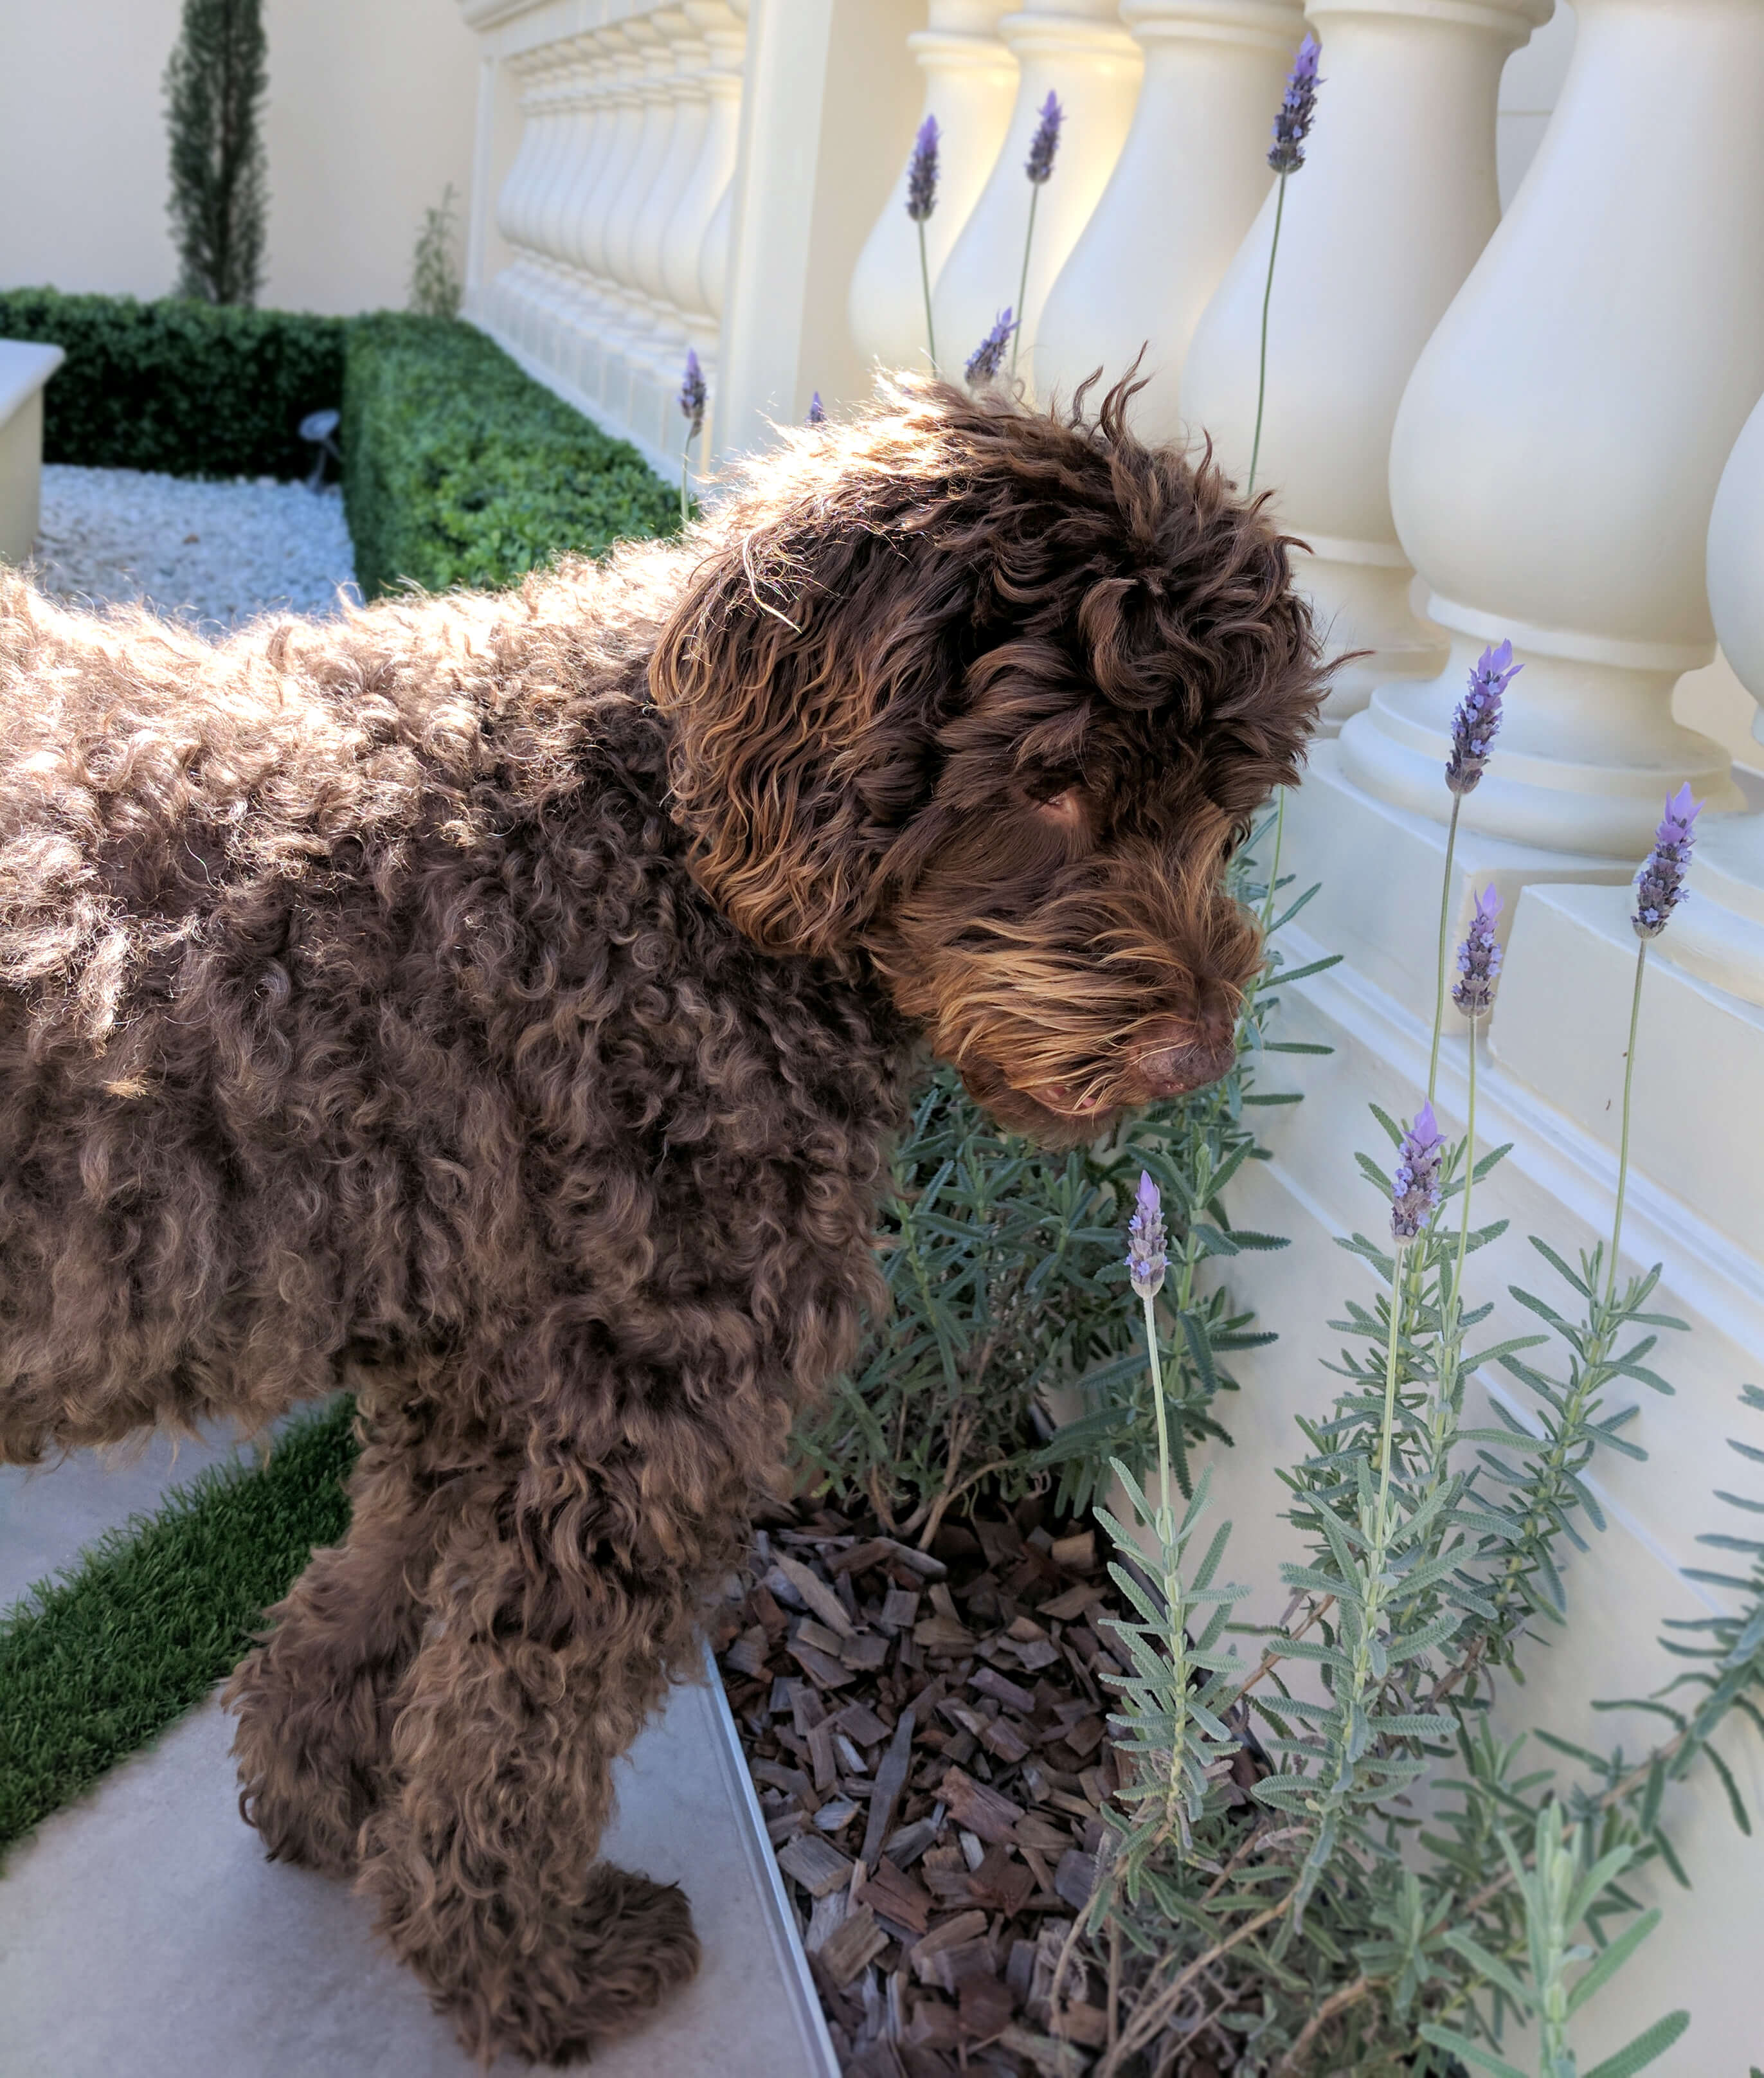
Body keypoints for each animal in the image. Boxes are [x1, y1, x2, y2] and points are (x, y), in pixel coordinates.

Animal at [0, 378, 1321, 2061]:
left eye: (1226, 795)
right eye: (1050, 779)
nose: (1195, 1051)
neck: (667, 855)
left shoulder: (476, 1364)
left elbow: (377, 1595)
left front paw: (322, 1781)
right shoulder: (645, 1419)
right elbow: (517, 1733)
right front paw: (527, 1971)